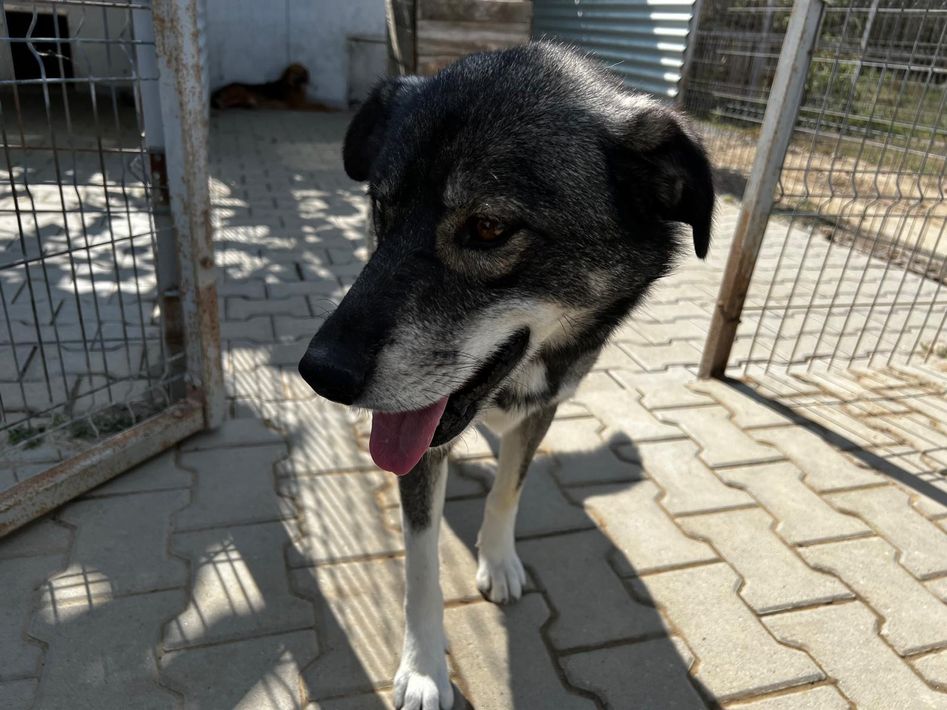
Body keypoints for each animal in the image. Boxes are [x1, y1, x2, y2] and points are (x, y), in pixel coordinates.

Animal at [298, 42, 714, 710]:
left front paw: (497, 561)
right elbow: (420, 568)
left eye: (489, 228)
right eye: (381, 208)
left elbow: (508, 490)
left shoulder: (544, 407)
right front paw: (424, 670)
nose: (320, 373)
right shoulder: (420, 448)